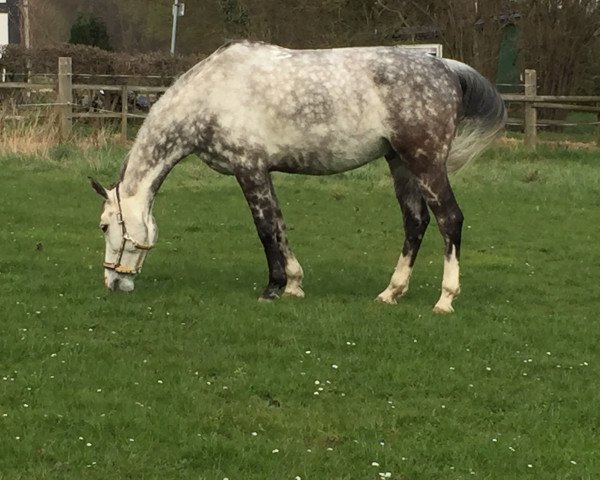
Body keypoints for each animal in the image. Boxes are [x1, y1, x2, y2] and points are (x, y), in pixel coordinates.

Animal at [91, 40, 506, 312]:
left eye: (105, 226)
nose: (113, 283)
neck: (210, 96)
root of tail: (446, 69)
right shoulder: (262, 171)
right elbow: (279, 225)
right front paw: (293, 284)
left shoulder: (249, 169)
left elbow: (265, 228)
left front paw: (272, 288)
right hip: (400, 164)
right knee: (415, 222)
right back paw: (391, 292)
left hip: (425, 163)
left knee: (449, 219)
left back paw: (445, 299)